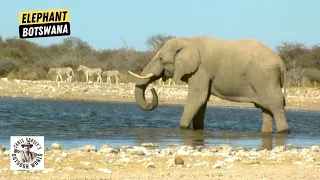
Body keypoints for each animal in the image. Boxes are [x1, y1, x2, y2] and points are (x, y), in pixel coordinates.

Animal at [128, 35, 290, 134]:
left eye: (161, 59)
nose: (153, 89)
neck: (188, 41)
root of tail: (281, 64)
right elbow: (202, 101)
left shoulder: (200, 70)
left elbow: (197, 97)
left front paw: (183, 128)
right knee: (265, 108)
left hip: (266, 77)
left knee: (275, 104)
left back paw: (284, 132)